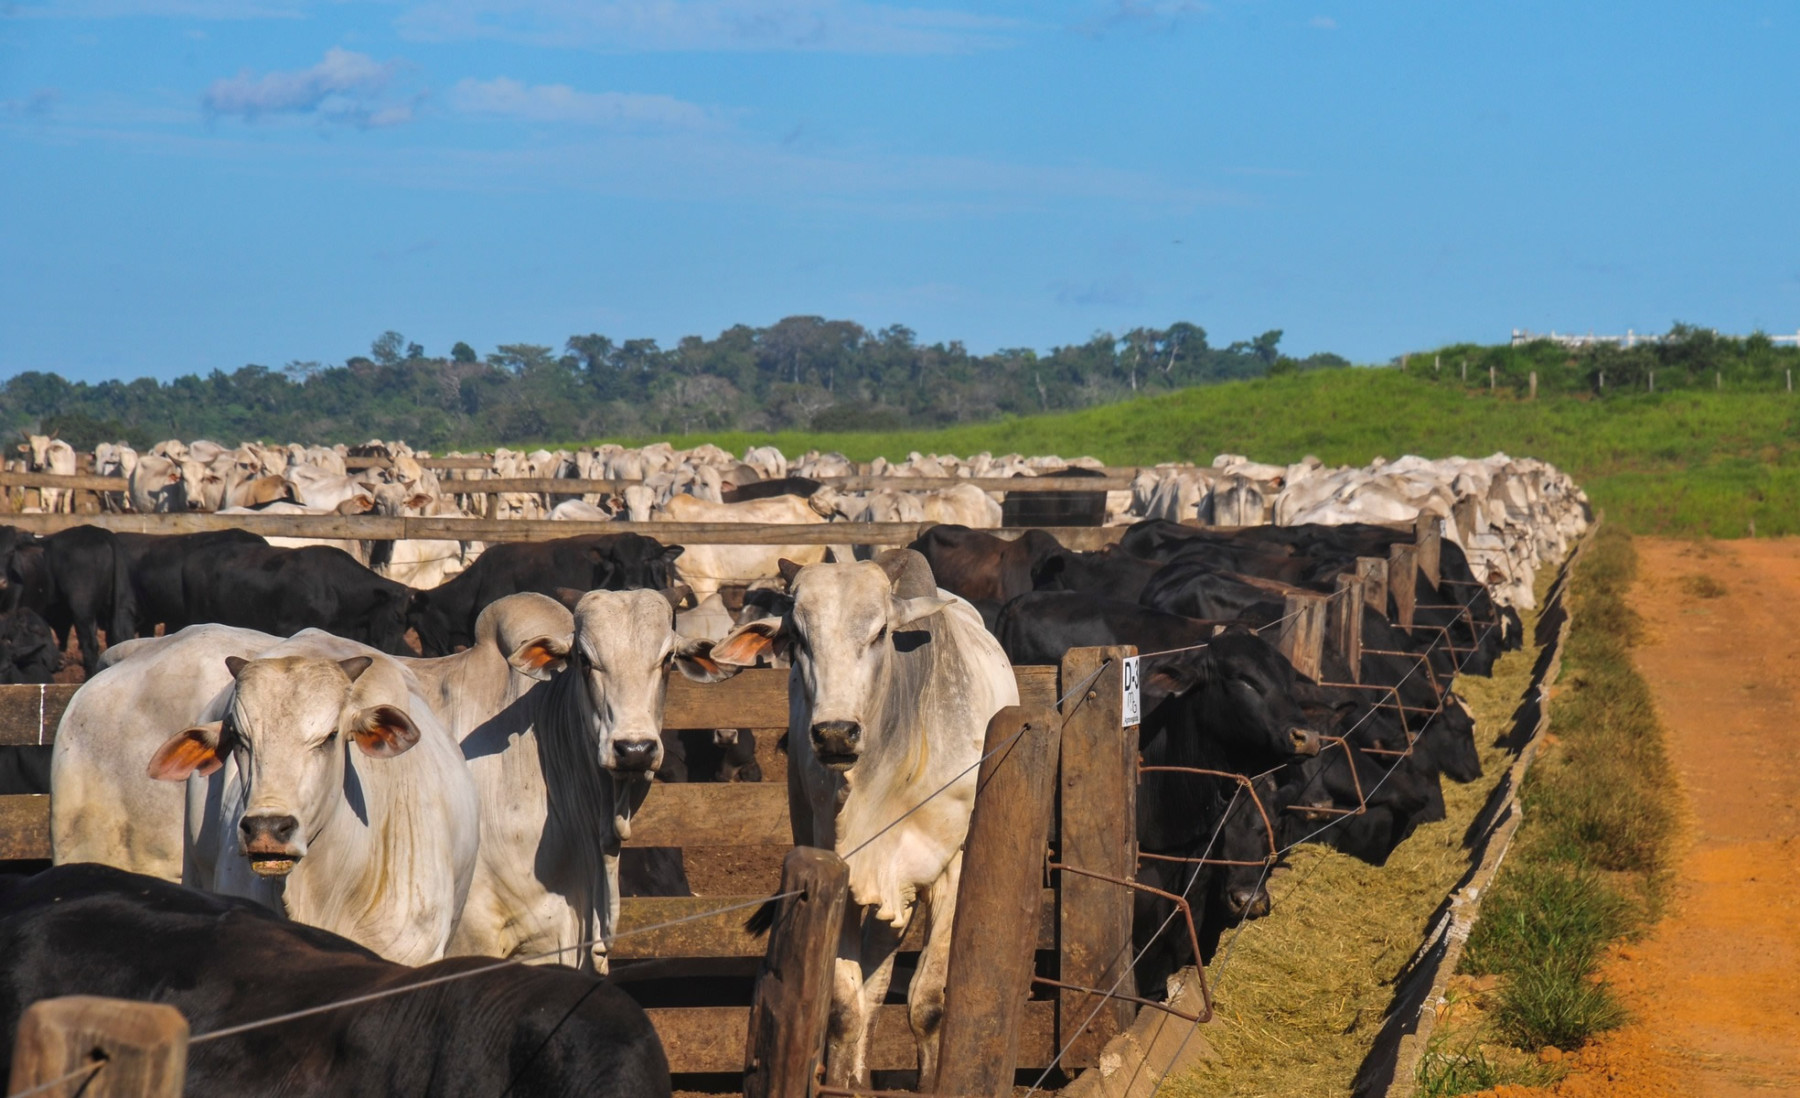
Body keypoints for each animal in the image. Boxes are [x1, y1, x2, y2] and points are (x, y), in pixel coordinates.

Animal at [712, 550, 1022, 1080]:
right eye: (798, 638)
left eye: (879, 633)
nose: (836, 733)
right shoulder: (842, 868)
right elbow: (844, 1007)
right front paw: (842, 1079)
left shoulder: (952, 867)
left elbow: (927, 1003)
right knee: (872, 989)